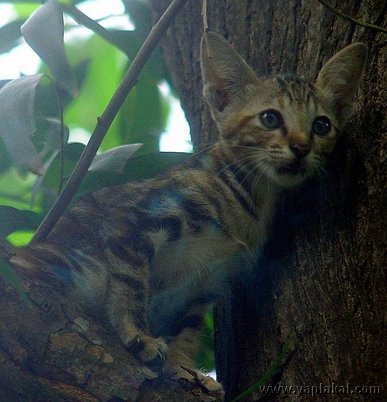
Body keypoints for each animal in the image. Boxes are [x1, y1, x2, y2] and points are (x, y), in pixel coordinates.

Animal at [11, 32, 366, 396]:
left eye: (322, 125)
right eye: (270, 118)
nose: (301, 147)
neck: (245, 199)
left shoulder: (205, 281)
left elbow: (186, 330)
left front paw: (183, 368)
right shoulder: (136, 220)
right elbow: (131, 286)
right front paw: (137, 334)